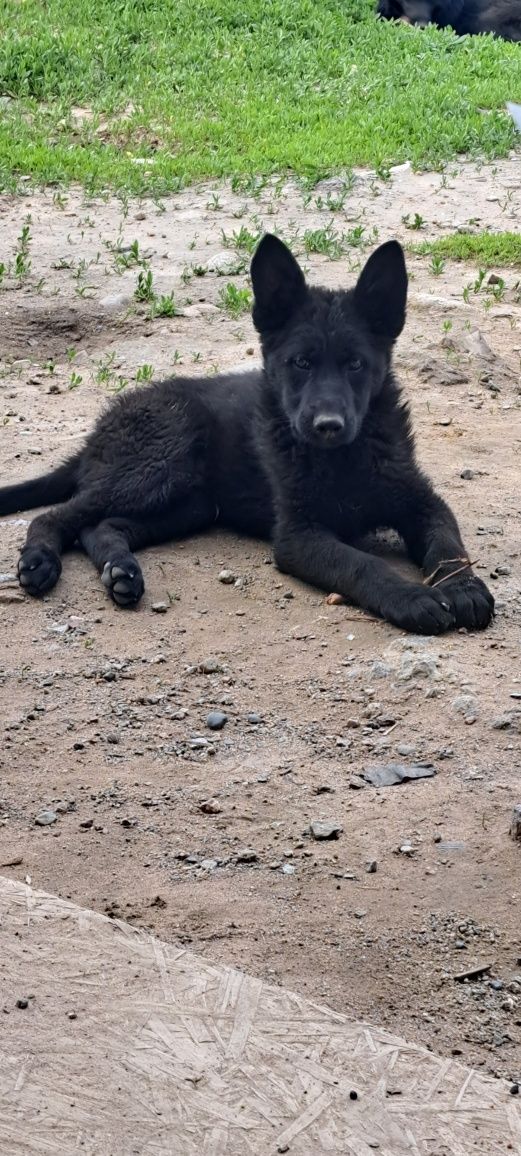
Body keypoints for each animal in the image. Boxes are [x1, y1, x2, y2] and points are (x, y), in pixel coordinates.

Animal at [0, 233, 496, 633]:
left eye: (356, 364)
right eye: (301, 363)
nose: (328, 426)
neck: (342, 460)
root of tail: (100, 429)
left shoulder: (422, 502)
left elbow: (449, 543)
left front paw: (465, 587)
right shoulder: (299, 536)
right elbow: (361, 563)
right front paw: (412, 597)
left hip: (191, 505)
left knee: (100, 525)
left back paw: (121, 571)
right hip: (160, 464)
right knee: (58, 516)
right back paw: (40, 563)